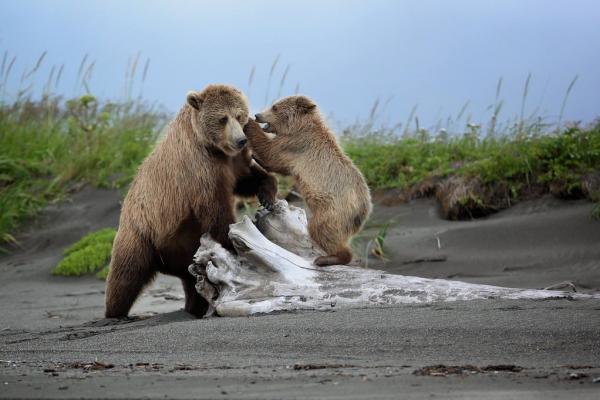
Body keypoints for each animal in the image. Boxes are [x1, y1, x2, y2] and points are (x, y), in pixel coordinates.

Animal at [243, 95, 370, 268]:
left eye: (275, 107)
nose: (258, 115)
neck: (298, 126)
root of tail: (364, 210)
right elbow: (274, 161)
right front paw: (255, 156)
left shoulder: (296, 144)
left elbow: (270, 152)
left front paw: (248, 123)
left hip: (334, 210)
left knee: (320, 229)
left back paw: (327, 258)